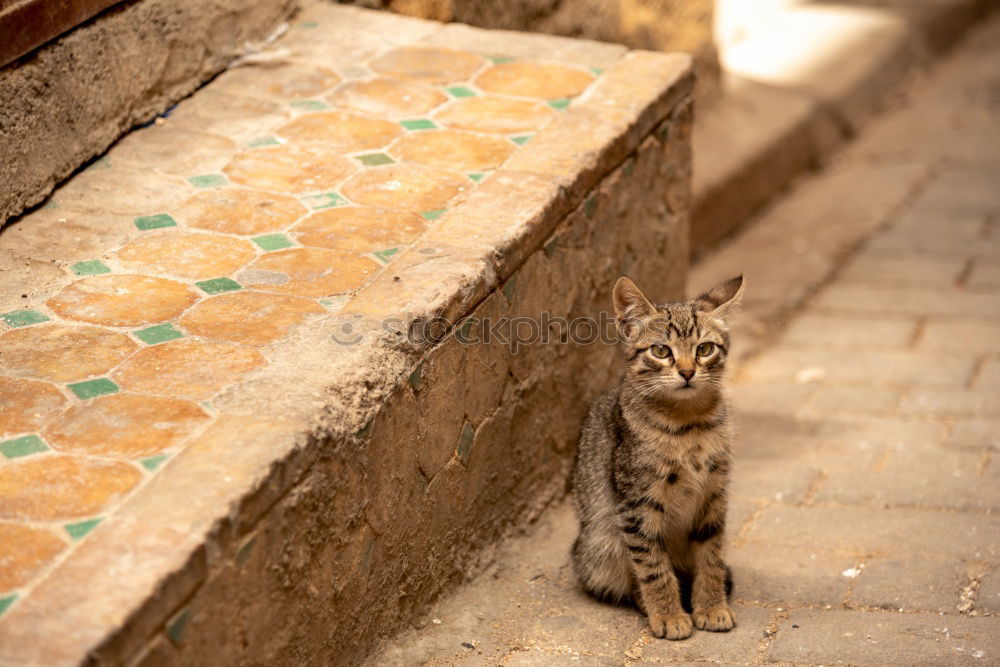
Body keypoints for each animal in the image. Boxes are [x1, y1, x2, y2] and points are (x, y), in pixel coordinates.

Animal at [572, 276, 744, 640]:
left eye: (704, 349)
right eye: (661, 351)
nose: (688, 372)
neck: (689, 425)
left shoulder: (714, 495)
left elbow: (710, 557)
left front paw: (711, 606)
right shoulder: (636, 505)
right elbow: (652, 566)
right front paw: (668, 614)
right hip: (599, 545)